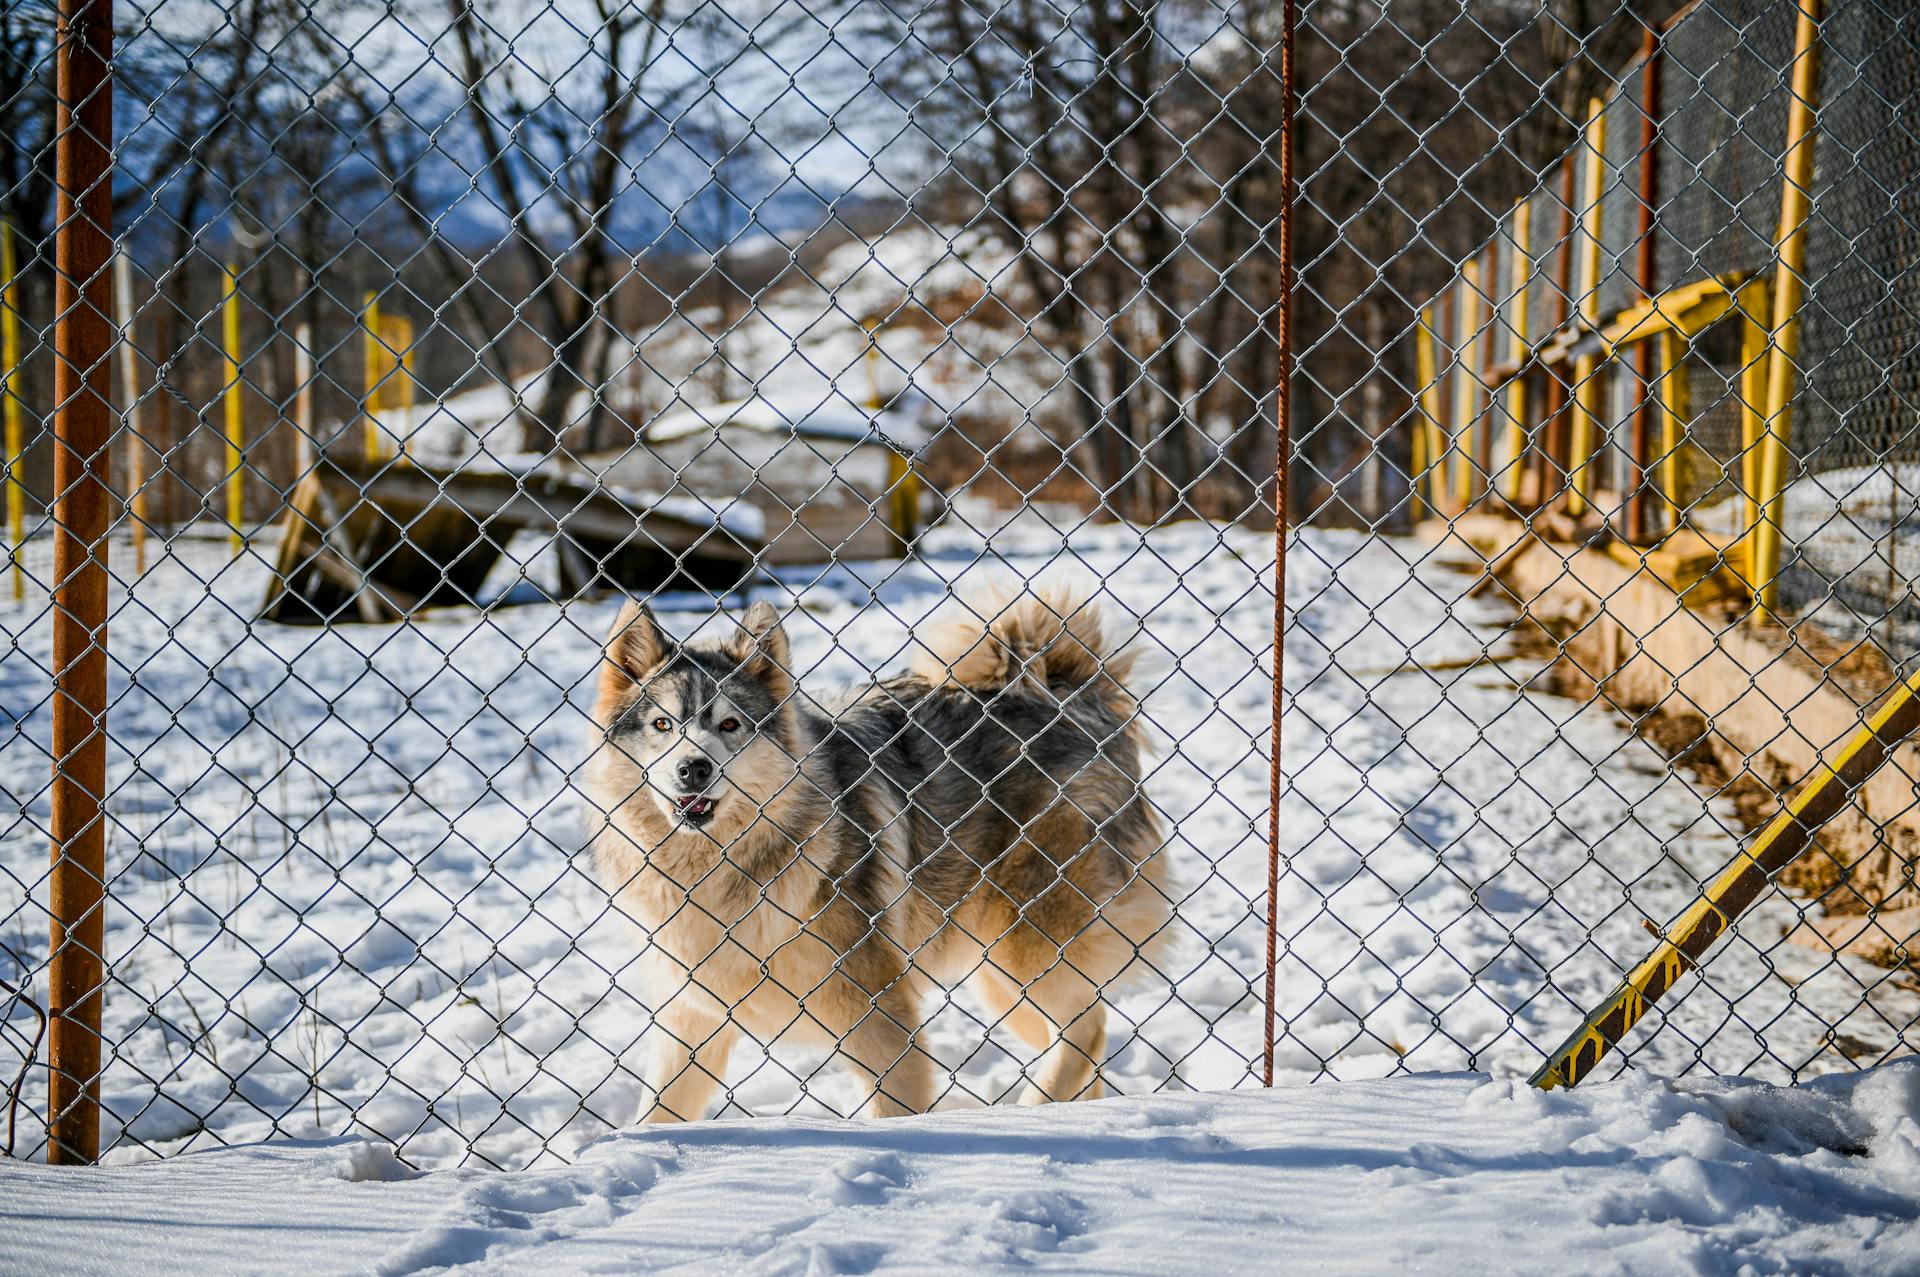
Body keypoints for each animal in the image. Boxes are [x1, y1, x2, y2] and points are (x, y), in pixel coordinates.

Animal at [587, 583, 1167, 1113]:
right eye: (663, 724)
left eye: (730, 725)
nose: (694, 768)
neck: (719, 873)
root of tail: (1067, 688)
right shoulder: (691, 1026)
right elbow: (655, 1115)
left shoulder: (881, 1023)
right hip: (1001, 978)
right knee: (1082, 1043)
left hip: (1025, 950)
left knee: (1086, 1032)